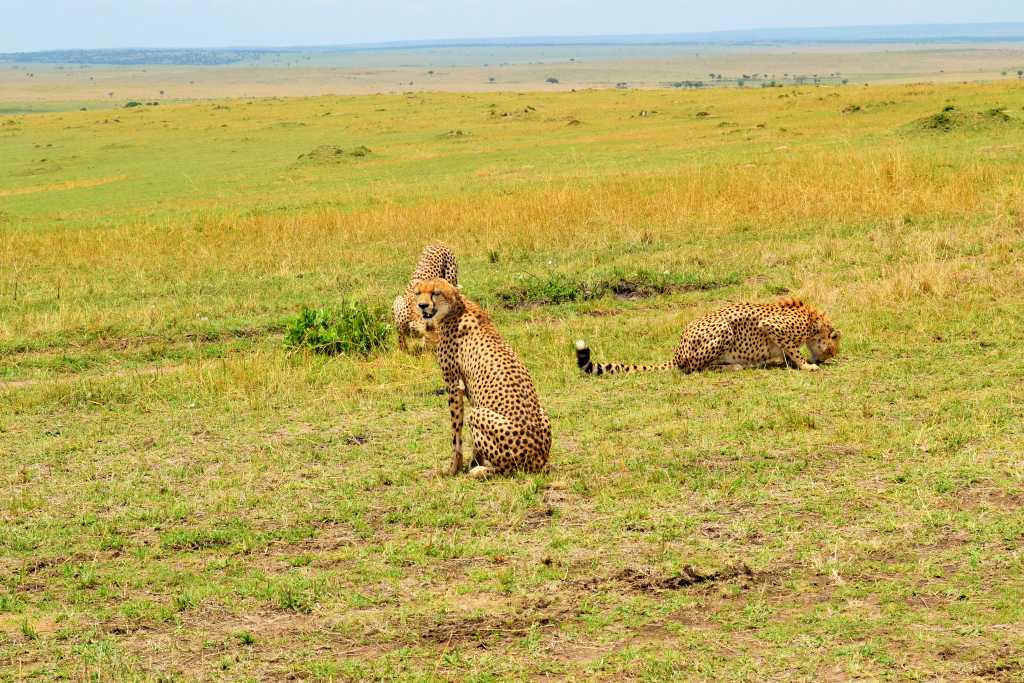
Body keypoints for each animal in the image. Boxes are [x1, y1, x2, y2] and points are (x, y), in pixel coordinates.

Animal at [411, 278, 552, 481]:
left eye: (435, 292)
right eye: (417, 293)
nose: (422, 306)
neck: (456, 307)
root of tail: (539, 459)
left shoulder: (453, 384)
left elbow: (456, 433)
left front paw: (453, 469)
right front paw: (473, 461)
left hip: (479, 417)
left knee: (511, 469)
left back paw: (482, 471)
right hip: (542, 413)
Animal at [577, 296, 839, 376]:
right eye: (834, 344)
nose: (829, 357)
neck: (811, 319)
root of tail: (677, 349)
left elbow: (787, 352)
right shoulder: (772, 326)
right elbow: (793, 350)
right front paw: (807, 365)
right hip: (724, 330)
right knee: (694, 368)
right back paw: (734, 366)